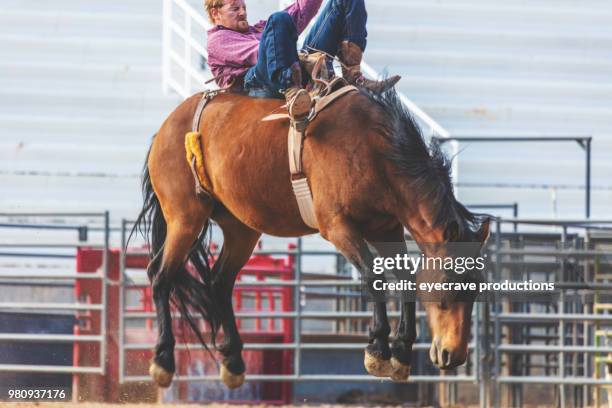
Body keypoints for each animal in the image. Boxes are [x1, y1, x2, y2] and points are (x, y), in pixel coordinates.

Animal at [131, 87, 490, 388]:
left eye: (476, 289)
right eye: (448, 285)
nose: (453, 355)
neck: (374, 150)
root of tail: (168, 125)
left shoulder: (385, 228)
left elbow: (404, 277)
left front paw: (401, 353)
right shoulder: (337, 226)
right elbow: (372, 275)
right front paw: (377, 349)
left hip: (240, 228)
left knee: (219, 281)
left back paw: (232, 362)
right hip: (185, 217)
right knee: (161, 275)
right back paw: (163, 361)